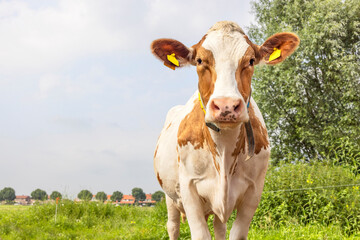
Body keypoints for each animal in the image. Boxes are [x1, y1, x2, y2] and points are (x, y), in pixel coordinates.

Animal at [150, 21, 300, 240]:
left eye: (251, 60)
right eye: (200, 60)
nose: (226, 105)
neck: (224, 151)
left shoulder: (254, 190)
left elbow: (235, 233)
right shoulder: (189, 188)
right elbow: (200, 234)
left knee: (219, 227)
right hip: (170, 197)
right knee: (173, 226)